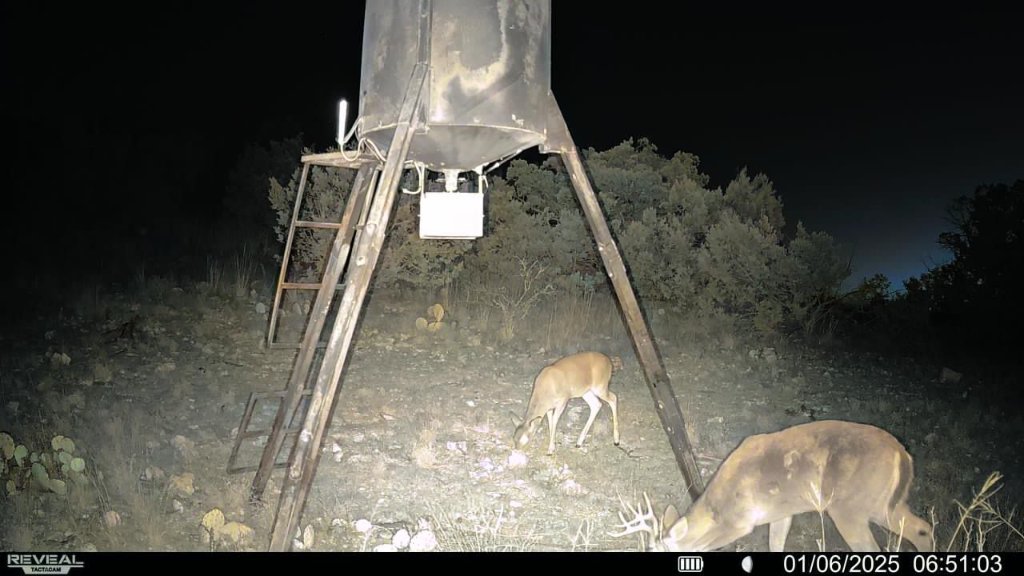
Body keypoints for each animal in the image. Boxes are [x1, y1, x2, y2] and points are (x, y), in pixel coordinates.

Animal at [611, 420, 934, 553]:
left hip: (849, 507)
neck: (718, 507)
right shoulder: (781, 512)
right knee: (922, 528)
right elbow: (775, 544)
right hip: (883, 503)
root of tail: (902, 453)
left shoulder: (741, 521)